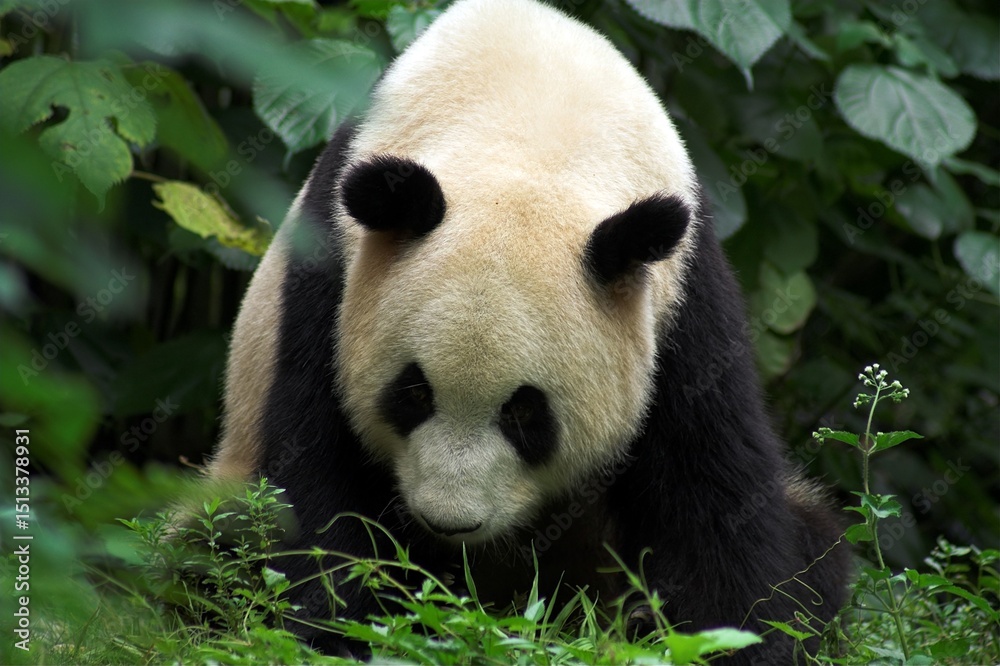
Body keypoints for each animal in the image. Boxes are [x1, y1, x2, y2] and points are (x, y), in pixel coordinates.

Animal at [207, 0, 850, 662]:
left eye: (525, 412)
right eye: (413, 393)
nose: (448, 523)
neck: (530, 130)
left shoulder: (679, 299)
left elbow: (712, 488)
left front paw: (733, 637)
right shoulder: (332, 272)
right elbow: (317, 477)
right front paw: (346, 626)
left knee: (817, 544)